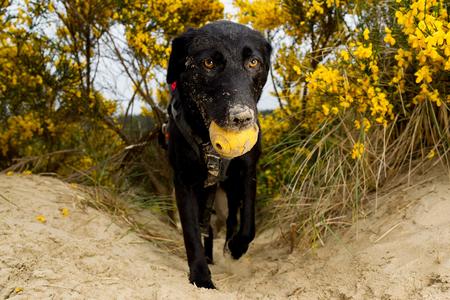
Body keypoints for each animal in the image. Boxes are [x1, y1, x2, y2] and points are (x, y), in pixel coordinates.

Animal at [165, 20, 270, 288]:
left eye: (253, 62)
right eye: (209, 63)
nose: (242, 118)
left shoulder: (247, 171)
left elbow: (248, 224)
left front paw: (235, 248)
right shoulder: (184, 182)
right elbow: (191, 233)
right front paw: (201, 277)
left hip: (229, 193)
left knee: (231, 219)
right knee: (207, 227)